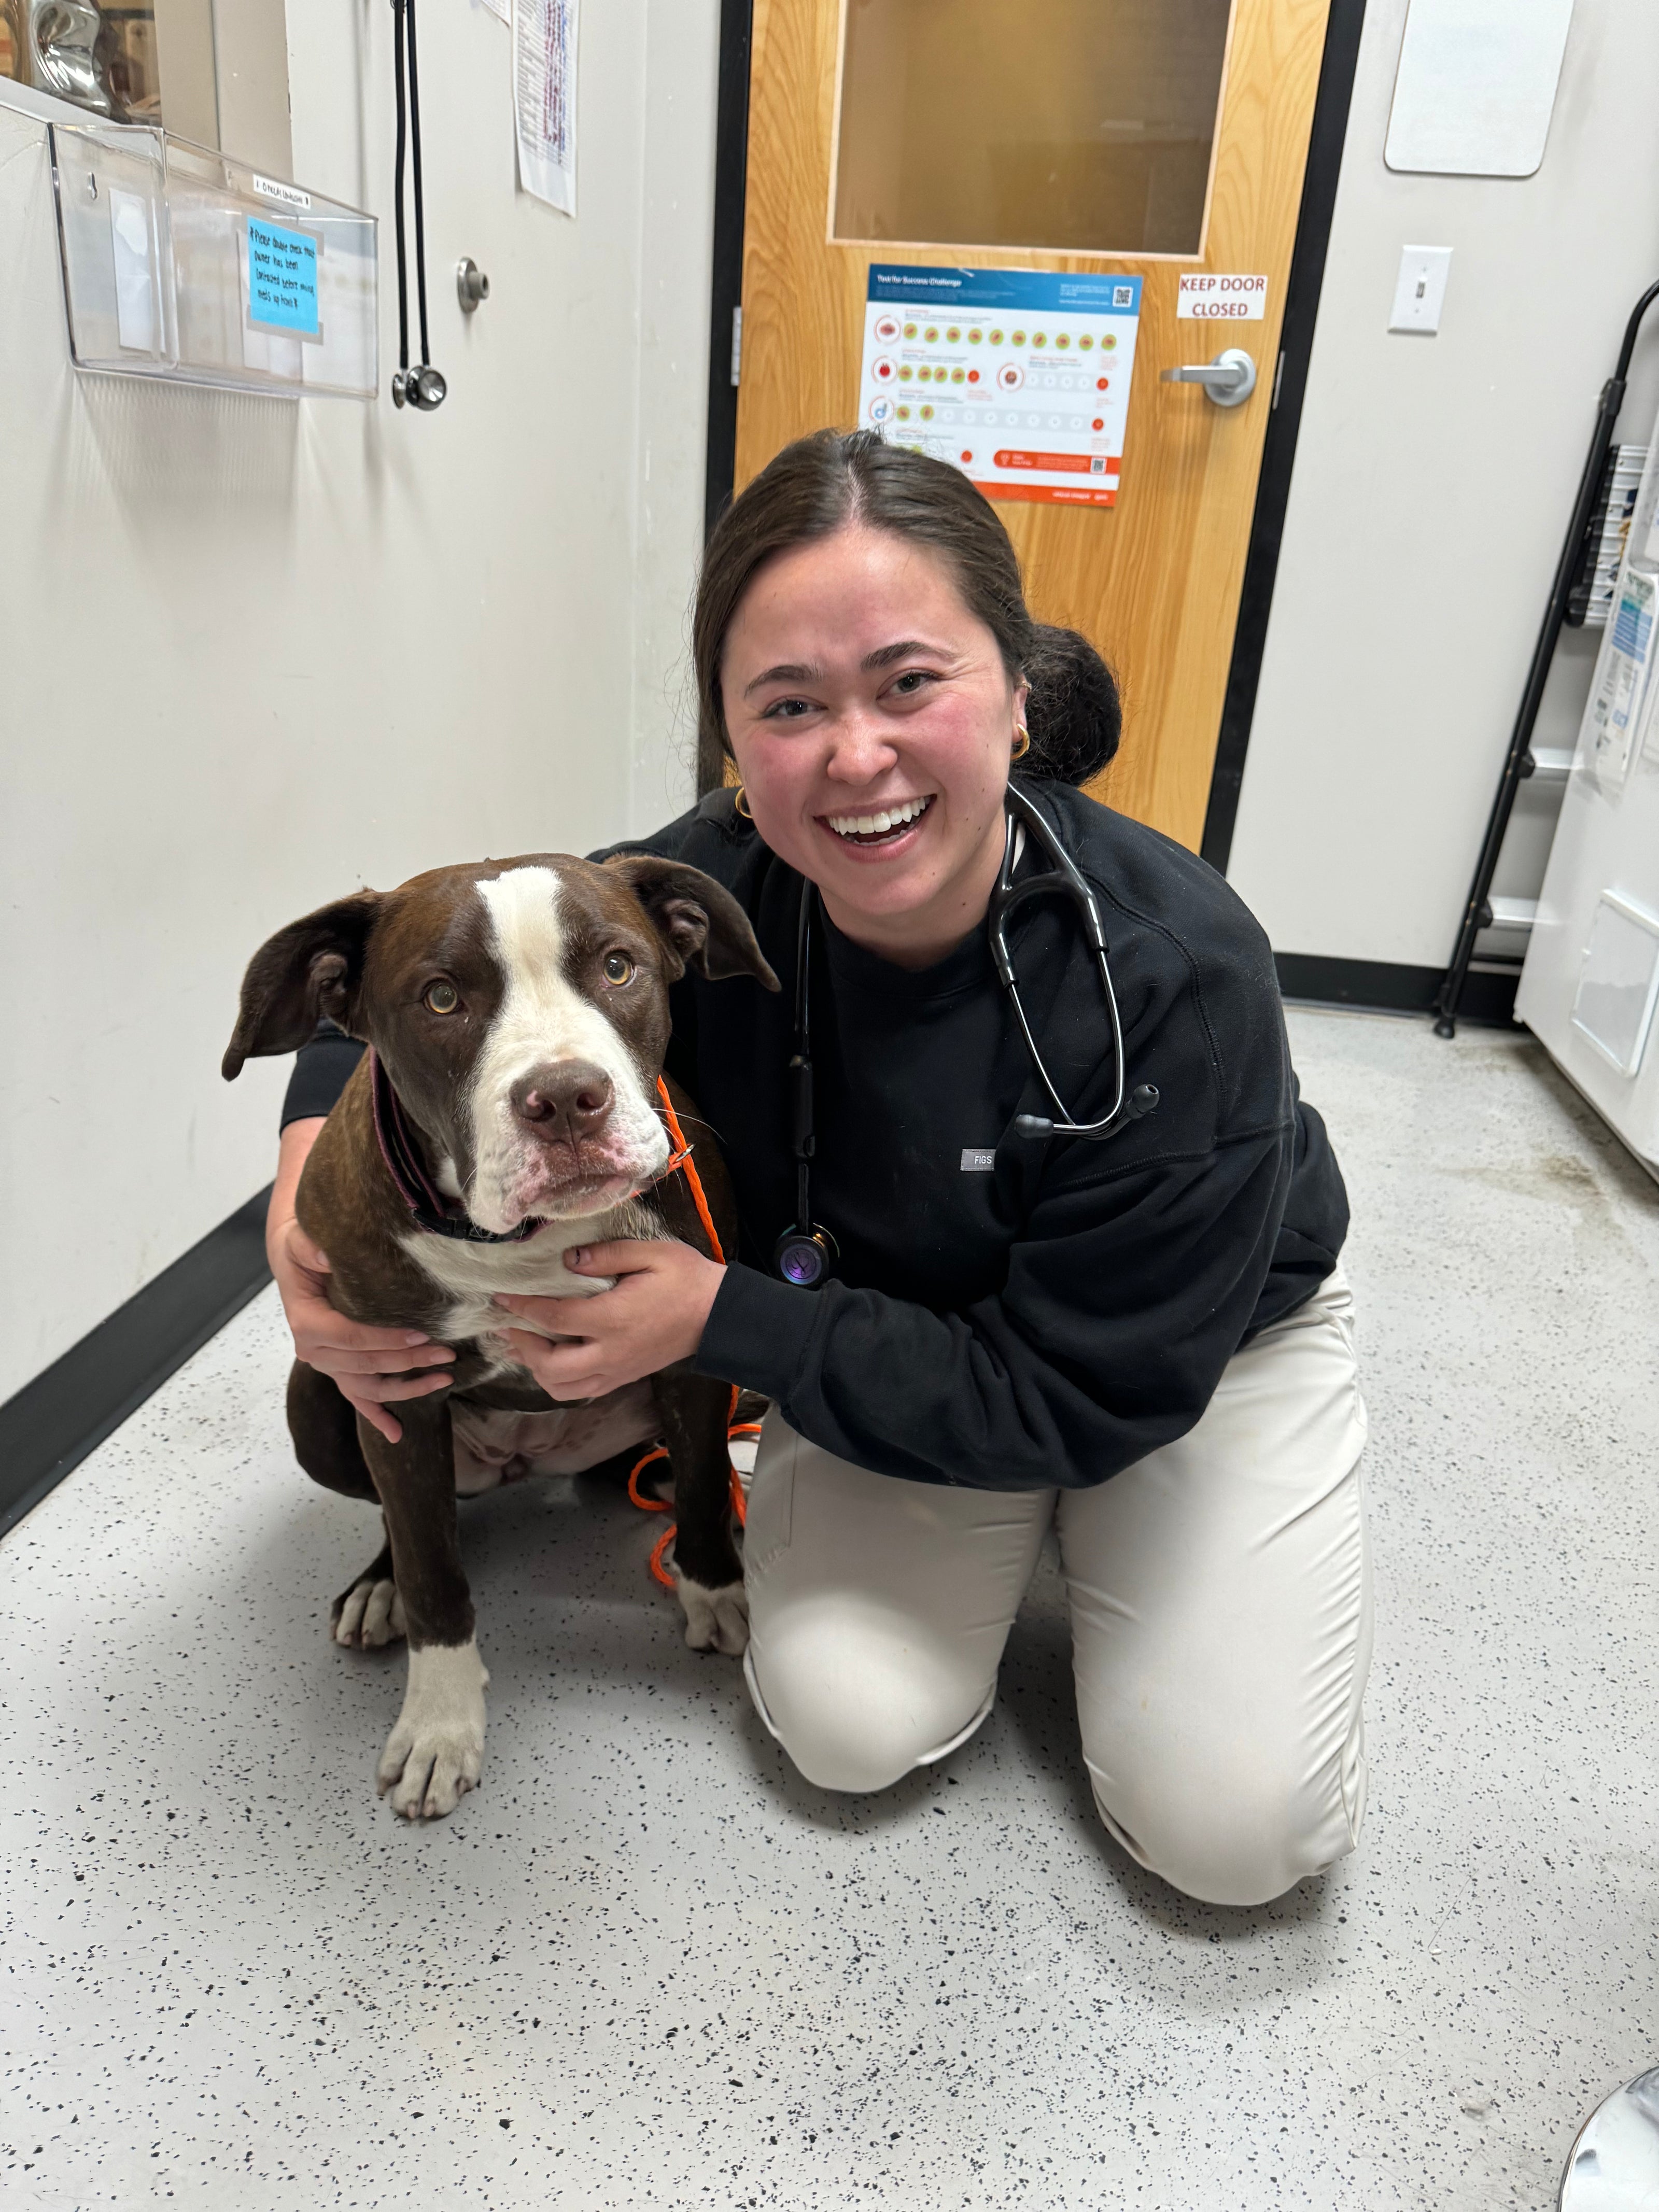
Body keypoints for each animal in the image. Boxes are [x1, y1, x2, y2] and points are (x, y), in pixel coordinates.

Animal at [219, 844, 778, 1813]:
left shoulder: (694, 1347)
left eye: (618, 966)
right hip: (320, 1400)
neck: (516, 1241)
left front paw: (717, 1587)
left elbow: (712, 1478)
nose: (567, 1098)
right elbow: (433, 1571)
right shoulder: (394, 1392)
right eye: (442, 997)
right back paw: (378, 1587)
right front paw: (440, 1722)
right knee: (413, 1518)